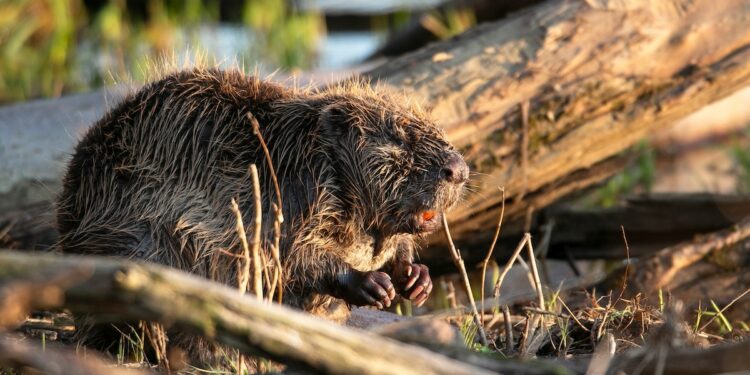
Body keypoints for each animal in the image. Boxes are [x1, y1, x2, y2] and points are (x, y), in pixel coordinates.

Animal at [55, 68, 470, 364]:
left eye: (434, 128)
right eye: (399, 136)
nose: (460, 169)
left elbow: (398, 248)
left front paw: (415, 279)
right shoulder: (289, 199)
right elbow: (291, 258)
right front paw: (373, 285)